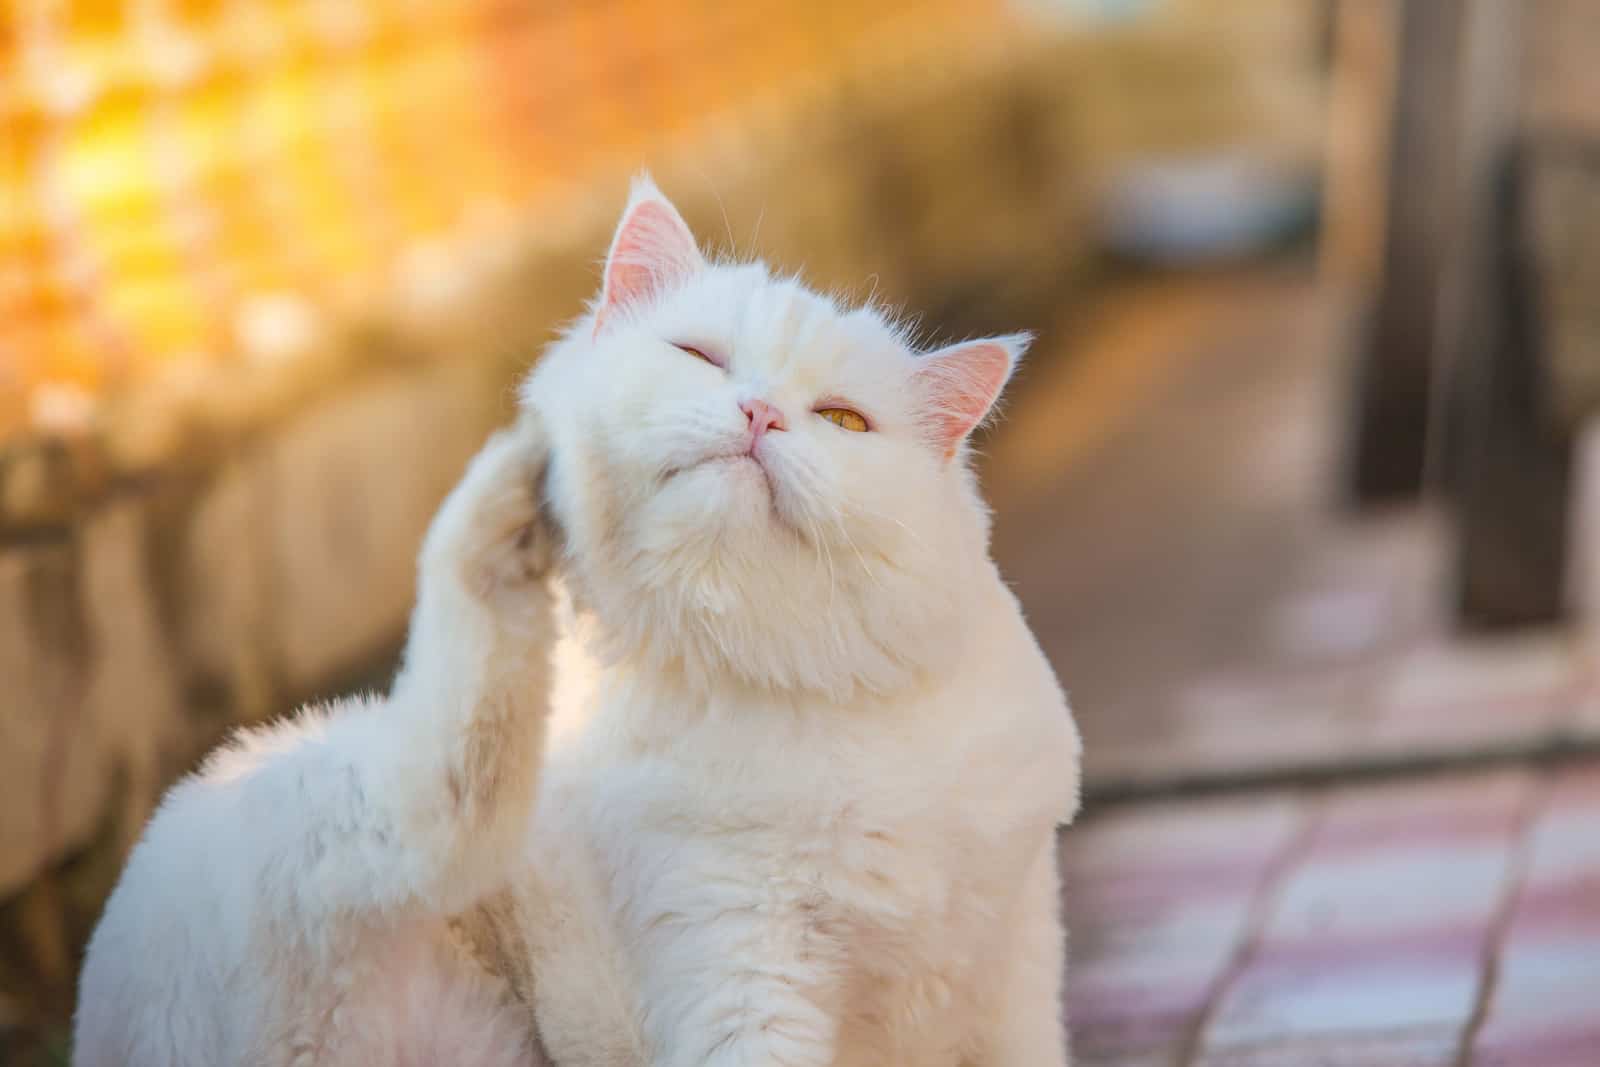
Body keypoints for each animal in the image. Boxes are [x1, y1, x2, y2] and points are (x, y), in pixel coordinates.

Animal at [72, 179, 1075, 1062]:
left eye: (842, 421)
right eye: (701, 358)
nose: (758, 415)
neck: (792, 696)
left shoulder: (1016, 968)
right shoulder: (737, 966)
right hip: (344, 820)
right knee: (444, 758)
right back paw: (510, 485)